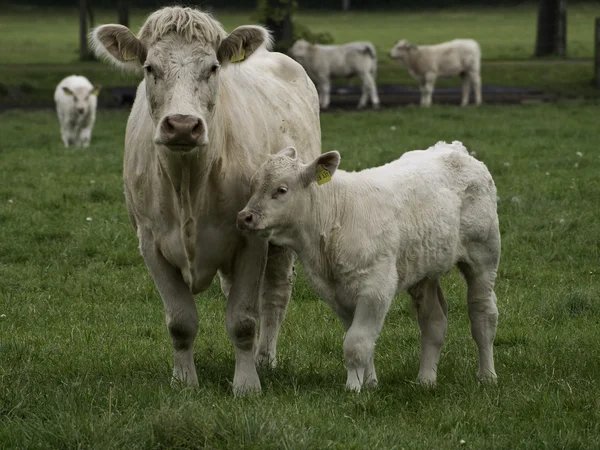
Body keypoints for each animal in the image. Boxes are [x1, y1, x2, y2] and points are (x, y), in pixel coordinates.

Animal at [89, 6, 322, 394]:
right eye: (150, 68)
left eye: (212, 68)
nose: (183, 125)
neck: (188, 184)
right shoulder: (150, 243)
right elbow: (181, 321)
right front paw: (184, 380)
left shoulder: (252, 238)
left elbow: (243, 319)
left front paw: (247, 383)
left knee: (274, 295)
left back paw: (264, 358)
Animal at [237, 141, 500, 390]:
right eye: (252, 186)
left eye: (281, 190)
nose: (245, 217)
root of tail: (454, 149)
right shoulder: (338, 295)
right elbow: (362, 340)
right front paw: (370, 383)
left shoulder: (376, 289)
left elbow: (356, 343)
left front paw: (353, 388)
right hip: (424, 271)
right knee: (433, 321)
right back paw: (425, 380)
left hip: (484, 256)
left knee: (483, 314)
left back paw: (487, 376)